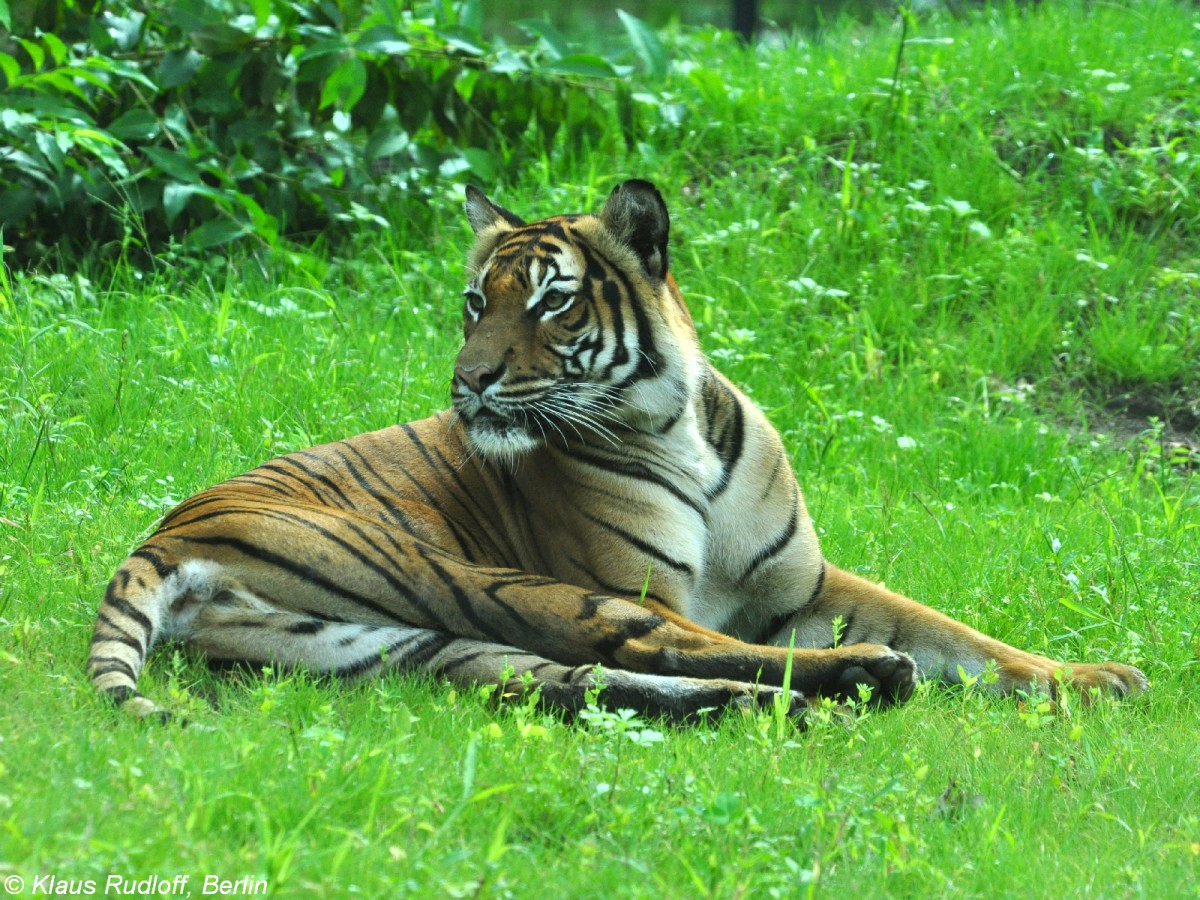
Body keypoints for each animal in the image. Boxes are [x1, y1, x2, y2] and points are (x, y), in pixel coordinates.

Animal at [88, 180, 1147, 724]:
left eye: (551, 301)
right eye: (475, 302)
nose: (468, 382)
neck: (679, 432)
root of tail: (161, 539)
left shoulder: (807, 586)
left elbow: (965, 637)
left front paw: (1097, 679)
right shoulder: (643, 582)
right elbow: (702, 626)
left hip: (403, 644)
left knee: (583, 683)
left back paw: (805, 700)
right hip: (467, 577)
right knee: (646, 645)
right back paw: (860, 680)